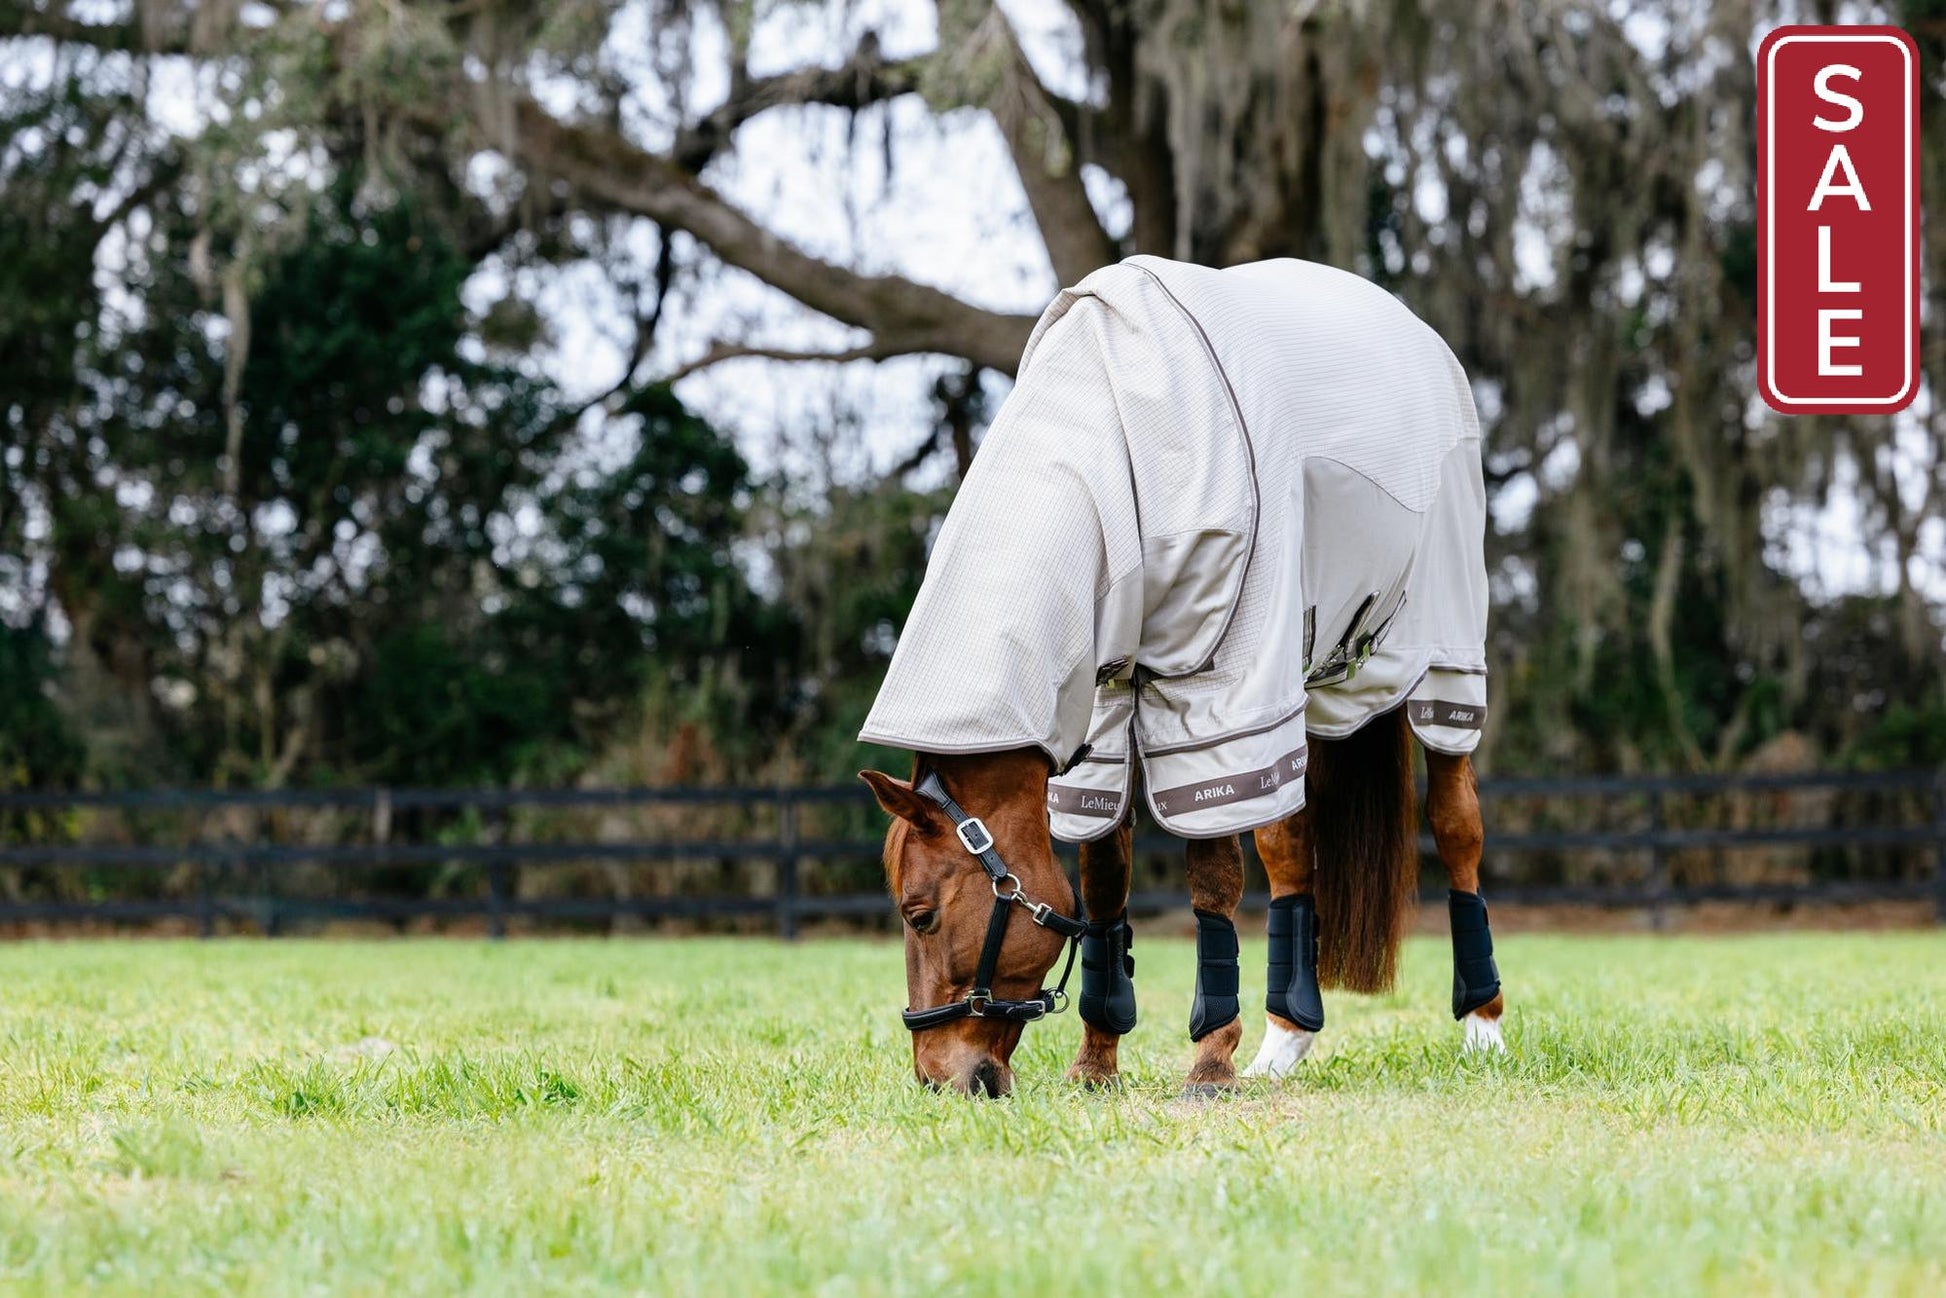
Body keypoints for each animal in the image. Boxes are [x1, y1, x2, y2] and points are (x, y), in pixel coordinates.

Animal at [859, 256, 1503, 1097]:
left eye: (919, 914)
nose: (941, 1077)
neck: (1116, 440)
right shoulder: (1102, 709)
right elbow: (1104, 877)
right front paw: (1095, 1064)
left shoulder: (1218, 692)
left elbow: (1213, 876)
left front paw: (1209, 1062)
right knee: (1292, 845)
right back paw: (1286, 1041)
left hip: (1443, 667)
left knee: (1456, 827)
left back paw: (1481, 1026)